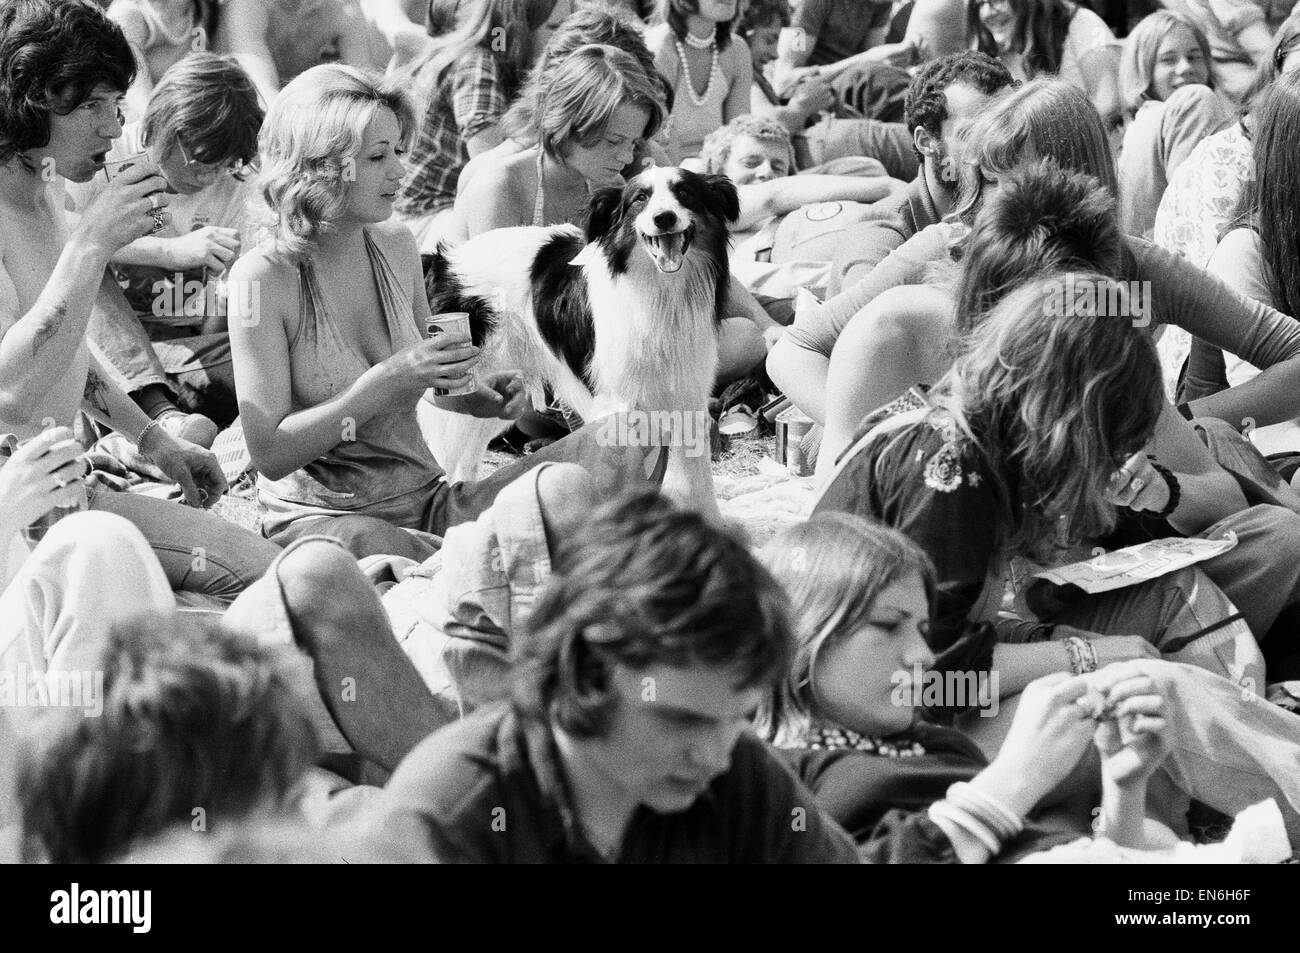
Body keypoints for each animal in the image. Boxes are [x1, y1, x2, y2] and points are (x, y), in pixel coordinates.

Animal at [418, 167, 738, 517]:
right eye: (641, 198)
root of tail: (442, 260)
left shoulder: (686, 396)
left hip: (492, 397)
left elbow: (697, 486)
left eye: (685, 193)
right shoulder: (618, 404)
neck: (659, 291)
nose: (664, 218)